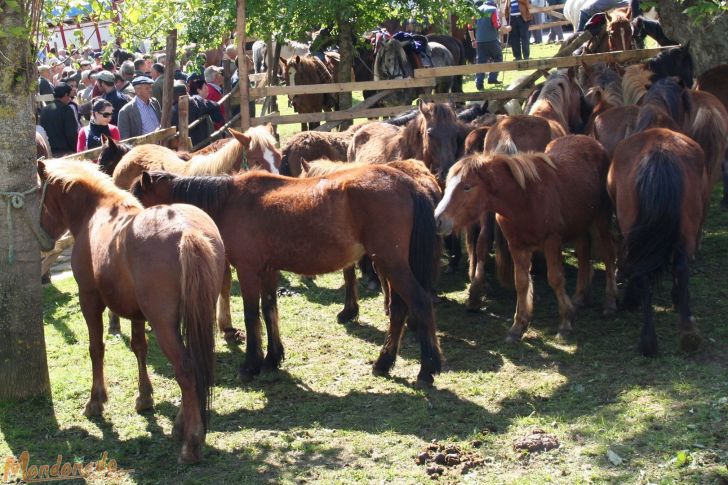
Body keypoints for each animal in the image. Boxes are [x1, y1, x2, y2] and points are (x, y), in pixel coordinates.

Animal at [36, 158, 225, 462]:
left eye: (40, 198)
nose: (42, 239)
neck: (96, 211)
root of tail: (189, 232)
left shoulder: (89, 299)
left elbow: (96, 348)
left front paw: (96, 400)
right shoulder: (136, 313)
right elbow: (139, 348)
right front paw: (145, 397)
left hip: (164, 324)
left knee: (185, 369)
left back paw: (192, 442)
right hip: (195, 316)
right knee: (195, 364)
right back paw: (181, 425)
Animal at [131, 164, 444, 384]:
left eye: (137, 196)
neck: (230, 202)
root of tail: (406, 183)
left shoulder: (248, 270)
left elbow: (252, 314)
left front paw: (251, 364)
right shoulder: (268, 271)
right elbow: (269, 310)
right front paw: (272, 358)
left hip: (392, 263)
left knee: (419, 303)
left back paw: (427, 369)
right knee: (400, 309)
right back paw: (385, 361)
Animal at [436, 134, 616, 342]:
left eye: (467, 187)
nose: (438, 219)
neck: (525, 199)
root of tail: (593, 142)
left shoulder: (551, 241)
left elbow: (555, 278)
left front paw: (565, 322)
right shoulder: (517, 245)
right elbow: (521, 282)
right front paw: (518, 326)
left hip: (601, 218)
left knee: (608, 256)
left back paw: (609, 302)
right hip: (579, 223)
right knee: (584, 251)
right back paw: (579, 297)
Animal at [604, 127, 708, 356]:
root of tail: (660, 152)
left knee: (647, 271)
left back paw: (649, 340)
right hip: (686, 227)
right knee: (680, 267)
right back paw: (687, 331)